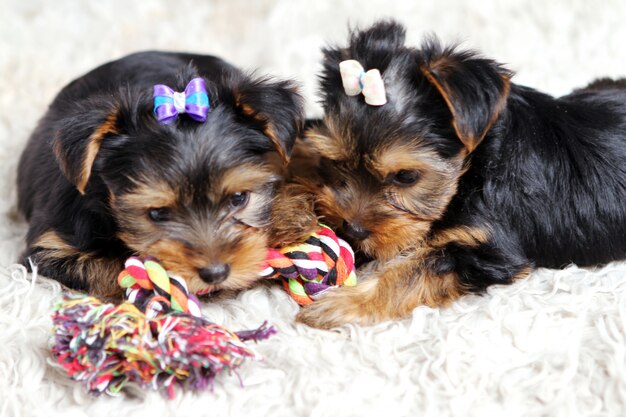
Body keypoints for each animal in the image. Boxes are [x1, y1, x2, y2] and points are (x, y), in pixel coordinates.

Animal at [18, 50, 310, 298]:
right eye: (157, 214)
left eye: (239, 199)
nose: (215, 273)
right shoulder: (49, 249)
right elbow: (116, 269)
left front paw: (290, 214)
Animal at [294, 20, 624, 328]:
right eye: (336, 161)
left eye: (406, 177)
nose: (353, 229)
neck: (475, 169)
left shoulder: (489, 249)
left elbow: (413, 270)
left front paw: (346, 302)